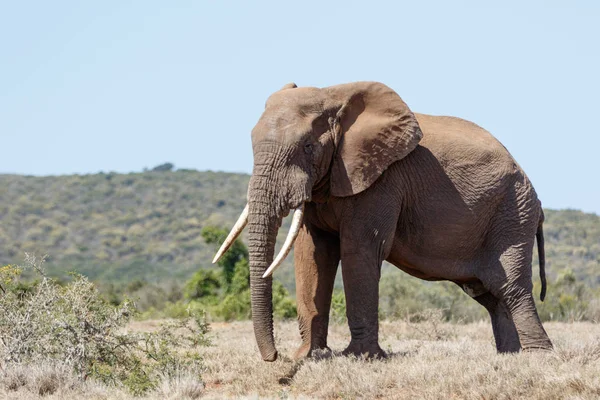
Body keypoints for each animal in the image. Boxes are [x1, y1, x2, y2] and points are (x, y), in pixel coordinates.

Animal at [212, 79, 552, 360]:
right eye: (252, 144)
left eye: (308, 147)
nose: (273, 357)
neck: (333, 95)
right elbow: (312, 254)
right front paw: (308, 356)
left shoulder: (380, 180)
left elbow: (358, 251)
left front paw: (359, 357)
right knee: (489, 294)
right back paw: (509, 356)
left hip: (512, 213)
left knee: (509, 287)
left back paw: (536, 356)